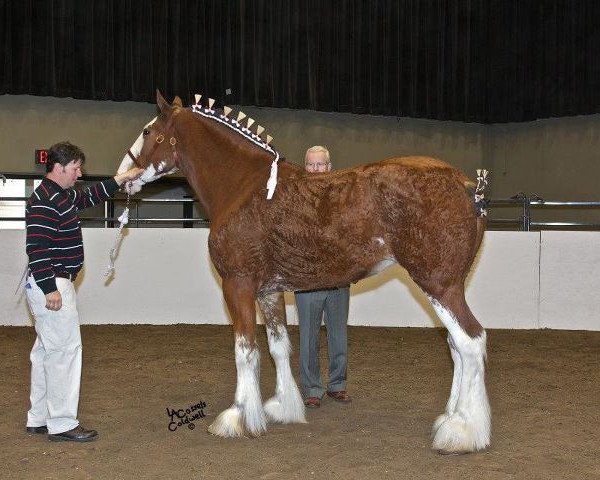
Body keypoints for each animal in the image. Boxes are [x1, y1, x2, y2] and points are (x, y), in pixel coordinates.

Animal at [118, 91, 492, 454]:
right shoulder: (268, 290)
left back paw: (461, 431)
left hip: (439, 284)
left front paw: (237, 418)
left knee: (470, 342)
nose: (122, 177)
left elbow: (244, 351)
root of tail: (466, 184)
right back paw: (450, 418)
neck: (244, 186)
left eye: (148, 131)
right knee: (456, 346)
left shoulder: (237, 285)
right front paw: (282, 407)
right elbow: (278, 347)